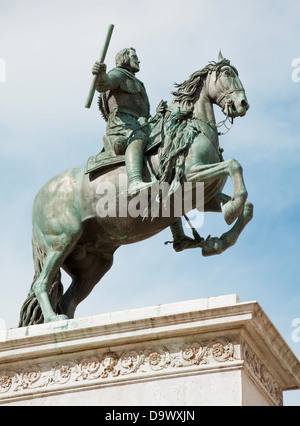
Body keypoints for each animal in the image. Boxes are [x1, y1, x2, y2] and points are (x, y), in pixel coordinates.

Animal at [18, 53, 253, 326]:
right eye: (226, 73)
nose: (242, 104)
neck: (190, 128)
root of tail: (40, 197)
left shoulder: (205, 197)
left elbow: (247, 206)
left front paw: (220, 238)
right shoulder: (192, 177)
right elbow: (234, 165)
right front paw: (230, 211)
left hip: (93, 264)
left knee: (67, 299)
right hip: (61, 242)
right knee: (42, 283)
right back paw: (55, 320)